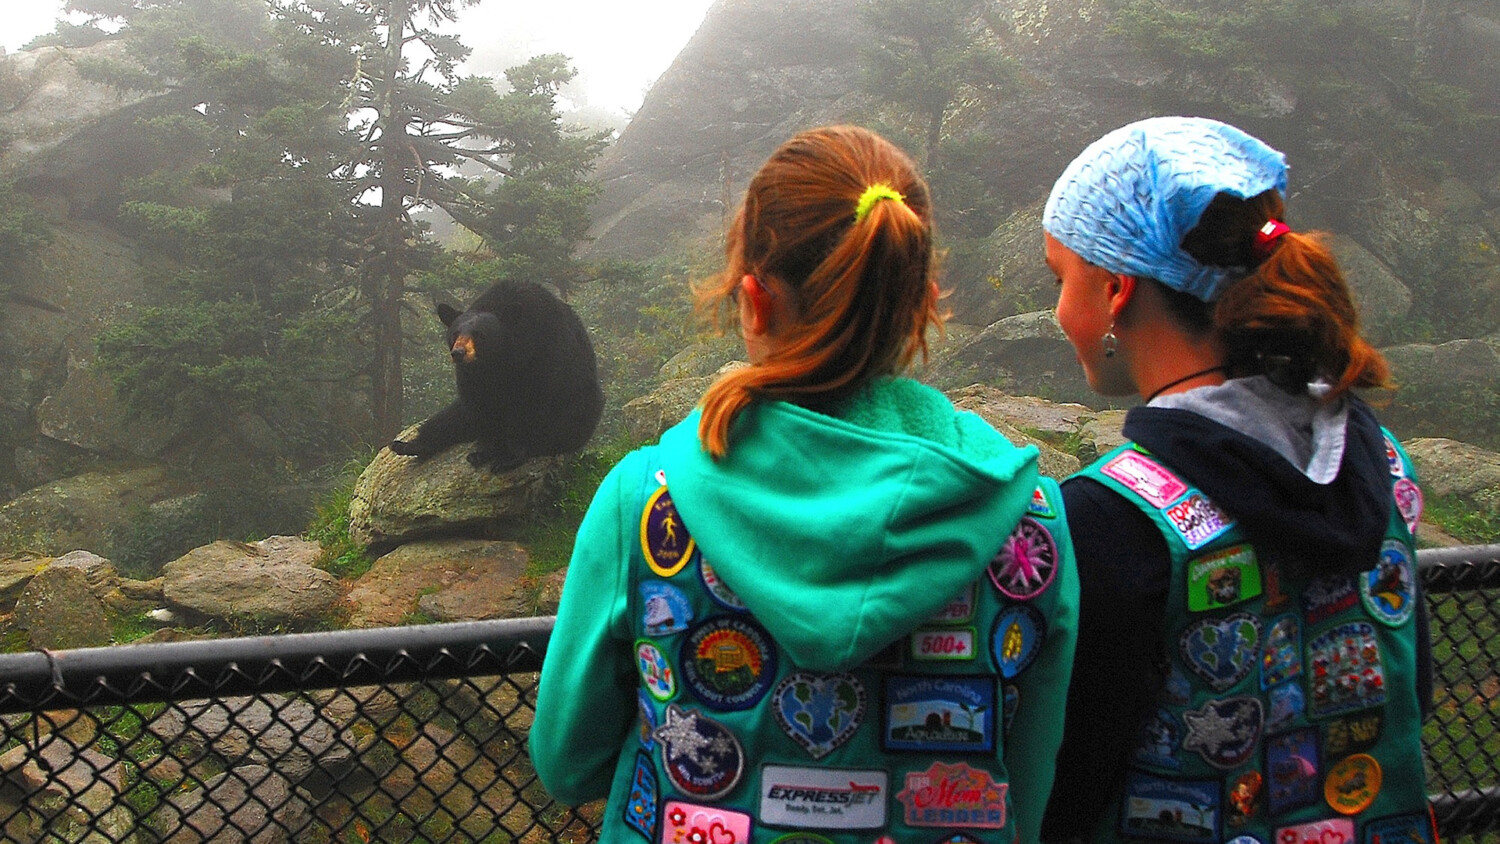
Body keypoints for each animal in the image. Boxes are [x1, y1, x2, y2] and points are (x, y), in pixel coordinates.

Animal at [390, 280, 606, 473]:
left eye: (479, 334)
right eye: (455, 333)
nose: (458, 353)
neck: (497, 361)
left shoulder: (542, 356)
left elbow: (531, 406)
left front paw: (508, 457)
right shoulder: (471, 377)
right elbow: (479, 408)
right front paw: (484, 451)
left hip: (583, 403)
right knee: (449, 418)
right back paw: (408, 445)